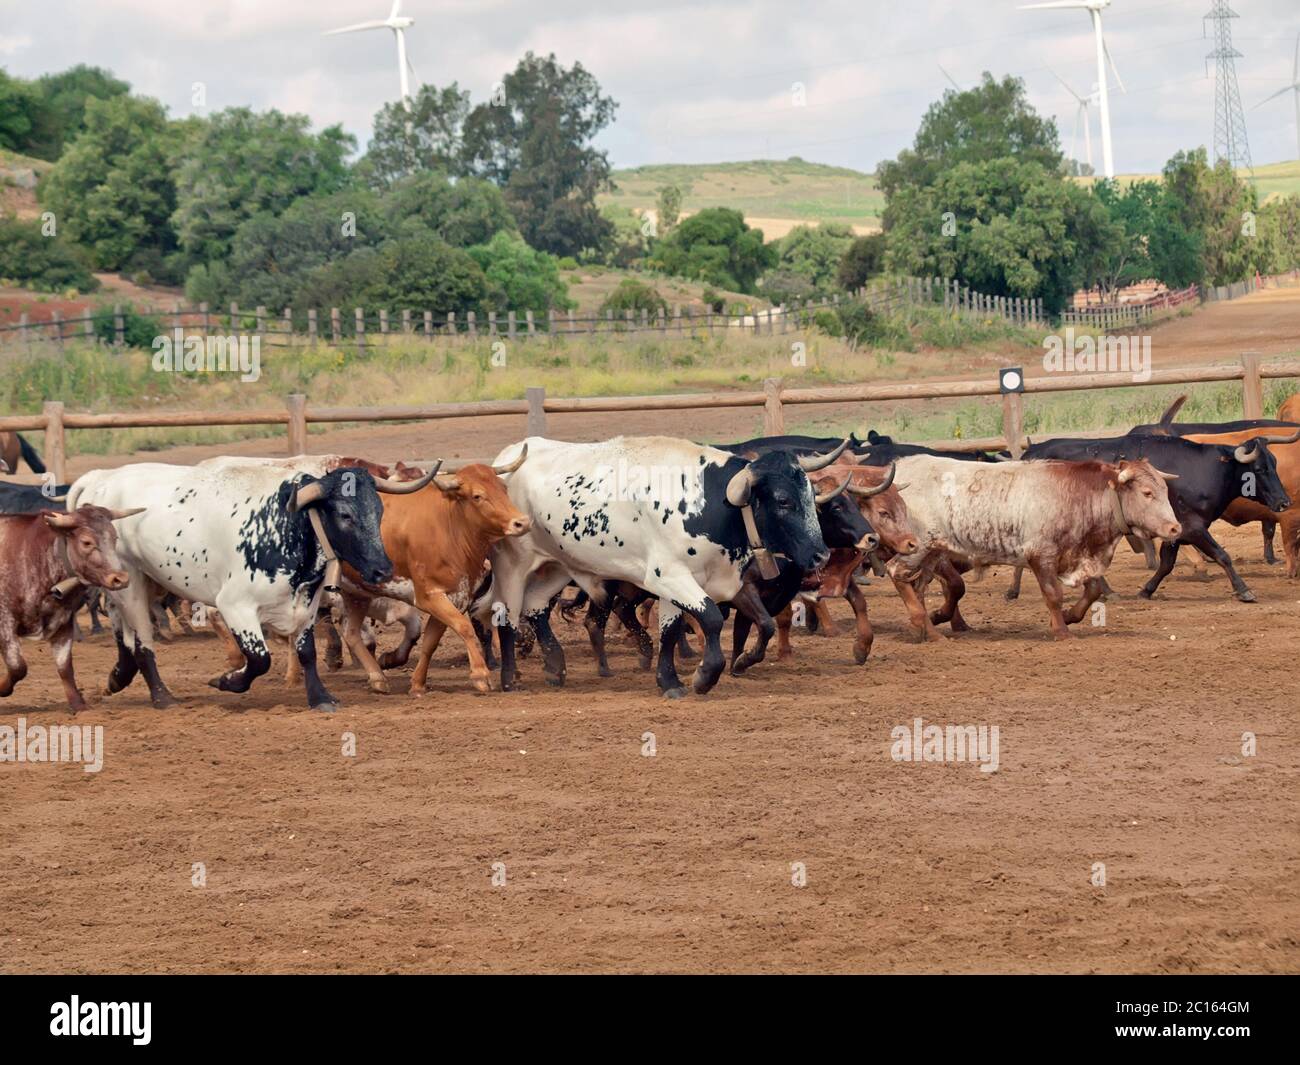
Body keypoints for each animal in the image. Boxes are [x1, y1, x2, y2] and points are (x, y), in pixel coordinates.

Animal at [0, 507, 142, 717]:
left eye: (115, 538)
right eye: (86, 542)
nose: (120, 579)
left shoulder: (63, 622)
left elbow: (65, 667)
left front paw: (78, 705)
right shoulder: (5, 622)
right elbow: (18, 667)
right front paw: (2, 689)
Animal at [68, 462, 431, 712]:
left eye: (378, 510)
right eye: (344, 514)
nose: (383, 568)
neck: (285, 525)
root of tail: (101, 478)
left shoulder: (307, 604)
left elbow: (307, 652)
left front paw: (320, 697)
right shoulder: (235, 606)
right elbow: (259, 659)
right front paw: (226, 681)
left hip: (133, 580)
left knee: (123, 629)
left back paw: (118, 677)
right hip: (128, 580)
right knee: (142, 639)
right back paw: (161, 696)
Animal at [473, 434, 837, 702]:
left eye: (811, 496)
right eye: (783, 501)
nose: (821, 555)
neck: (708, 501)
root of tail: (505, 460)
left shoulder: (686, 583)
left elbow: (675, 631)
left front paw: (672, 680)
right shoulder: (670, 576)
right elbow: (711, 618)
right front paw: (705, 675)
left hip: (558, 565)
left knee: (535, 607)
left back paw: (554, 666)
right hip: (512, 564)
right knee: (505, 615)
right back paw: (509, 679)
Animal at [889, 452, 1185, 637]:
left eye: (1165, 490)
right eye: (1147, 493)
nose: (1175, 528)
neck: (1077, 494)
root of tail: (900, 468)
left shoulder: (1079, 555)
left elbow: (1092, 591)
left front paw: (1069, 615)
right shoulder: (1041, 555)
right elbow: (1053, 594)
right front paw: (1061, 631)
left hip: (931, 554)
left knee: (919, 587)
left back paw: (927, 629)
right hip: (917, 547)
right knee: (897, 574)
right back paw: (923, 624)